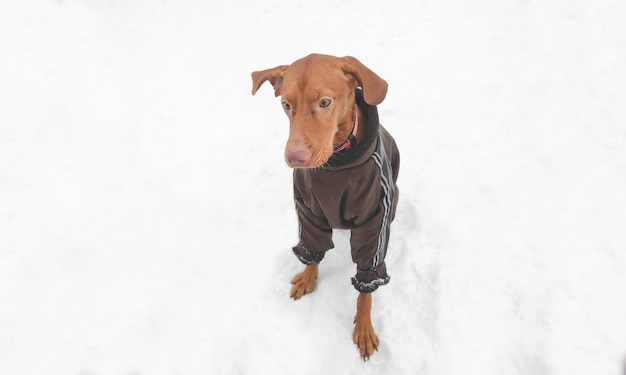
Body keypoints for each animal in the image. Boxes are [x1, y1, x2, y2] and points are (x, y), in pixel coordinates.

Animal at [251, 53, 398, 362]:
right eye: (286, 105)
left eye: (325, 102)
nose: (294, 158)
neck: (336, 165)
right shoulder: (307, 211)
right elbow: (312, 250)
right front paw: (309, 277)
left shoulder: (374, 221)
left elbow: (366, 287)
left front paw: (364, 327)